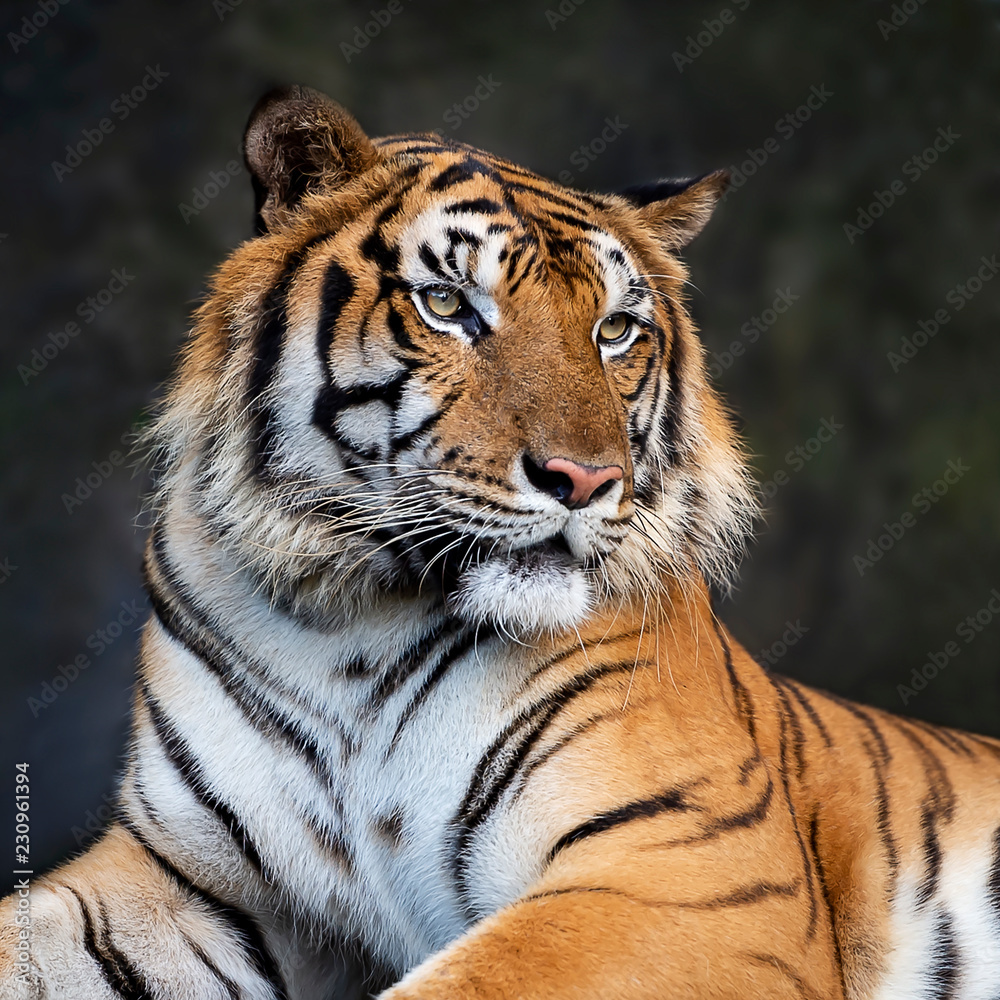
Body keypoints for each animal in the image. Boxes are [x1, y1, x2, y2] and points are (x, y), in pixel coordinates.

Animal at [3, 83, 999, 1000]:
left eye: (615, 329)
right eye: (448, 304)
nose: (586, 480)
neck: (349, 624)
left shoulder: (688, 871)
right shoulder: (189, 877)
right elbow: (27, 933)